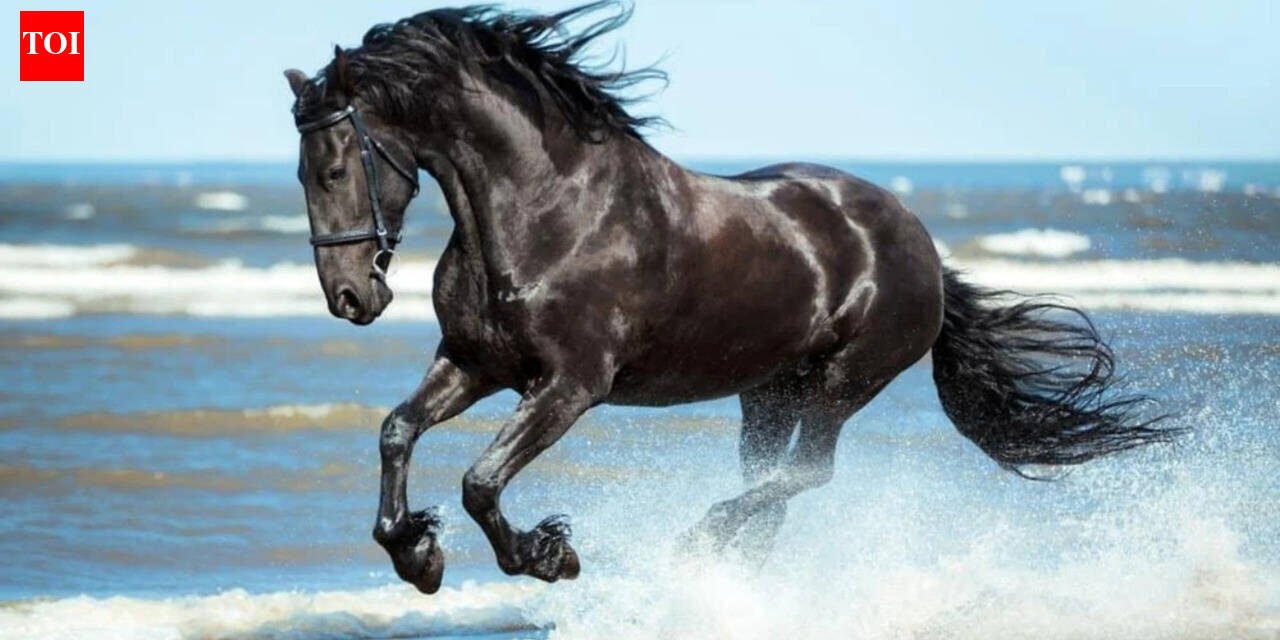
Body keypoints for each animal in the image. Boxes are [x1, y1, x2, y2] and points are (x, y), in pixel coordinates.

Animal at [283, 2, 1174, 594]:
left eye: (335, 166)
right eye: (300, 172)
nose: (351, 296)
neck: (546, 210)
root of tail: (919, 242)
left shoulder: (571, 385)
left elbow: (481, 480)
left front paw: (546, 554)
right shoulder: (474, 363)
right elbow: (397, 432)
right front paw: (416, 553)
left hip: (845, 381)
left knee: (807, 474)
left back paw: (698, 540)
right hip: (768, 392)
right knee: (775, 486)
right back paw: (726, 566)